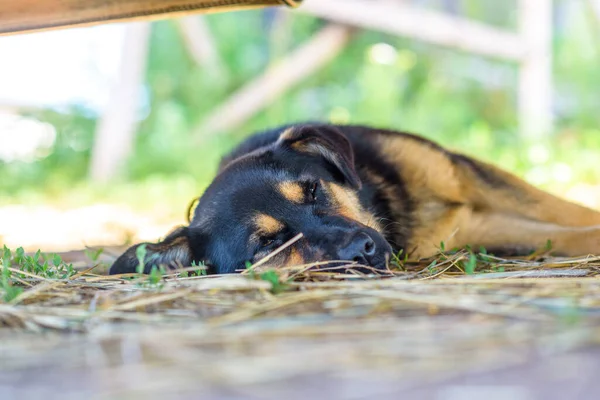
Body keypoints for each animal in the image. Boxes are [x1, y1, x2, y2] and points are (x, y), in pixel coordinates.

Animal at [110, 123, 600, 276]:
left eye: (313, 189)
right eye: (269, 244)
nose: (363, 249)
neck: (388, 200)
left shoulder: (468, 175)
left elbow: (569, 211)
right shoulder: (469, 228)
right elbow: (568, 234)